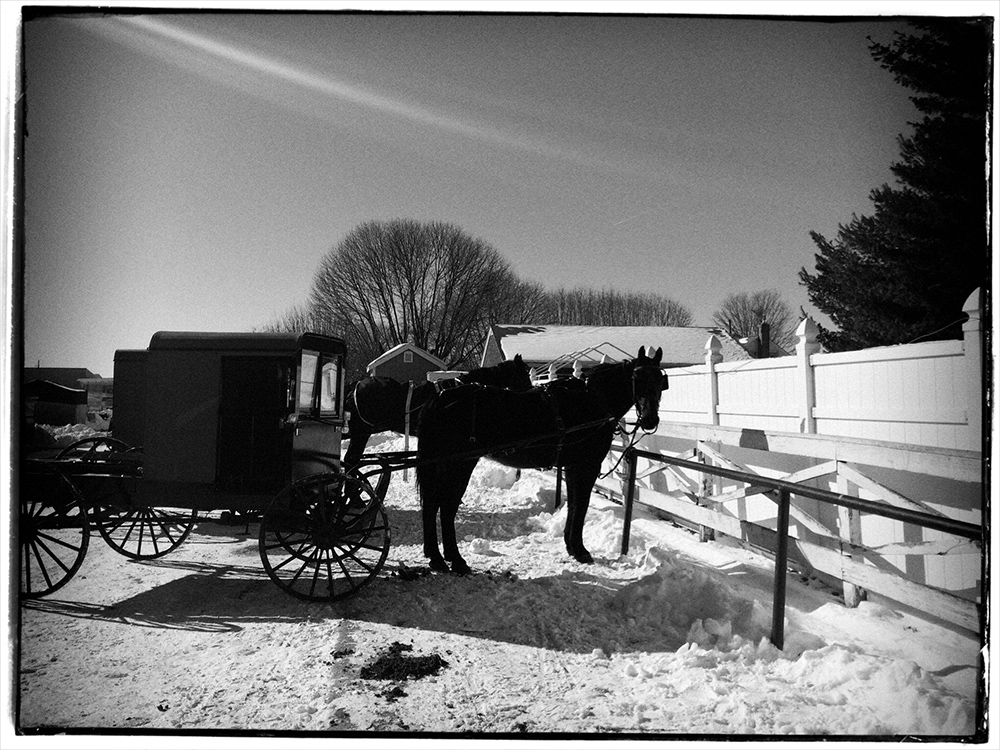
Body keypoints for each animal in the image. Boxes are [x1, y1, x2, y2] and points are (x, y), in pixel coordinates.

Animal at [414, 348, 664, 576]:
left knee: (432, 505)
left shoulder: (572, 467)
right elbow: (581, 505)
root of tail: (440, 399)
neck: (591, 401)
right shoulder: (586, 466)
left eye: (661, 381)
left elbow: (573, 504)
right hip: (460, 465)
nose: (650, 420)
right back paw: (456, 560)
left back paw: (436, 557)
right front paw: (581, 550)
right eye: (638, 378)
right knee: (446, 507)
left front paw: (571, 546)